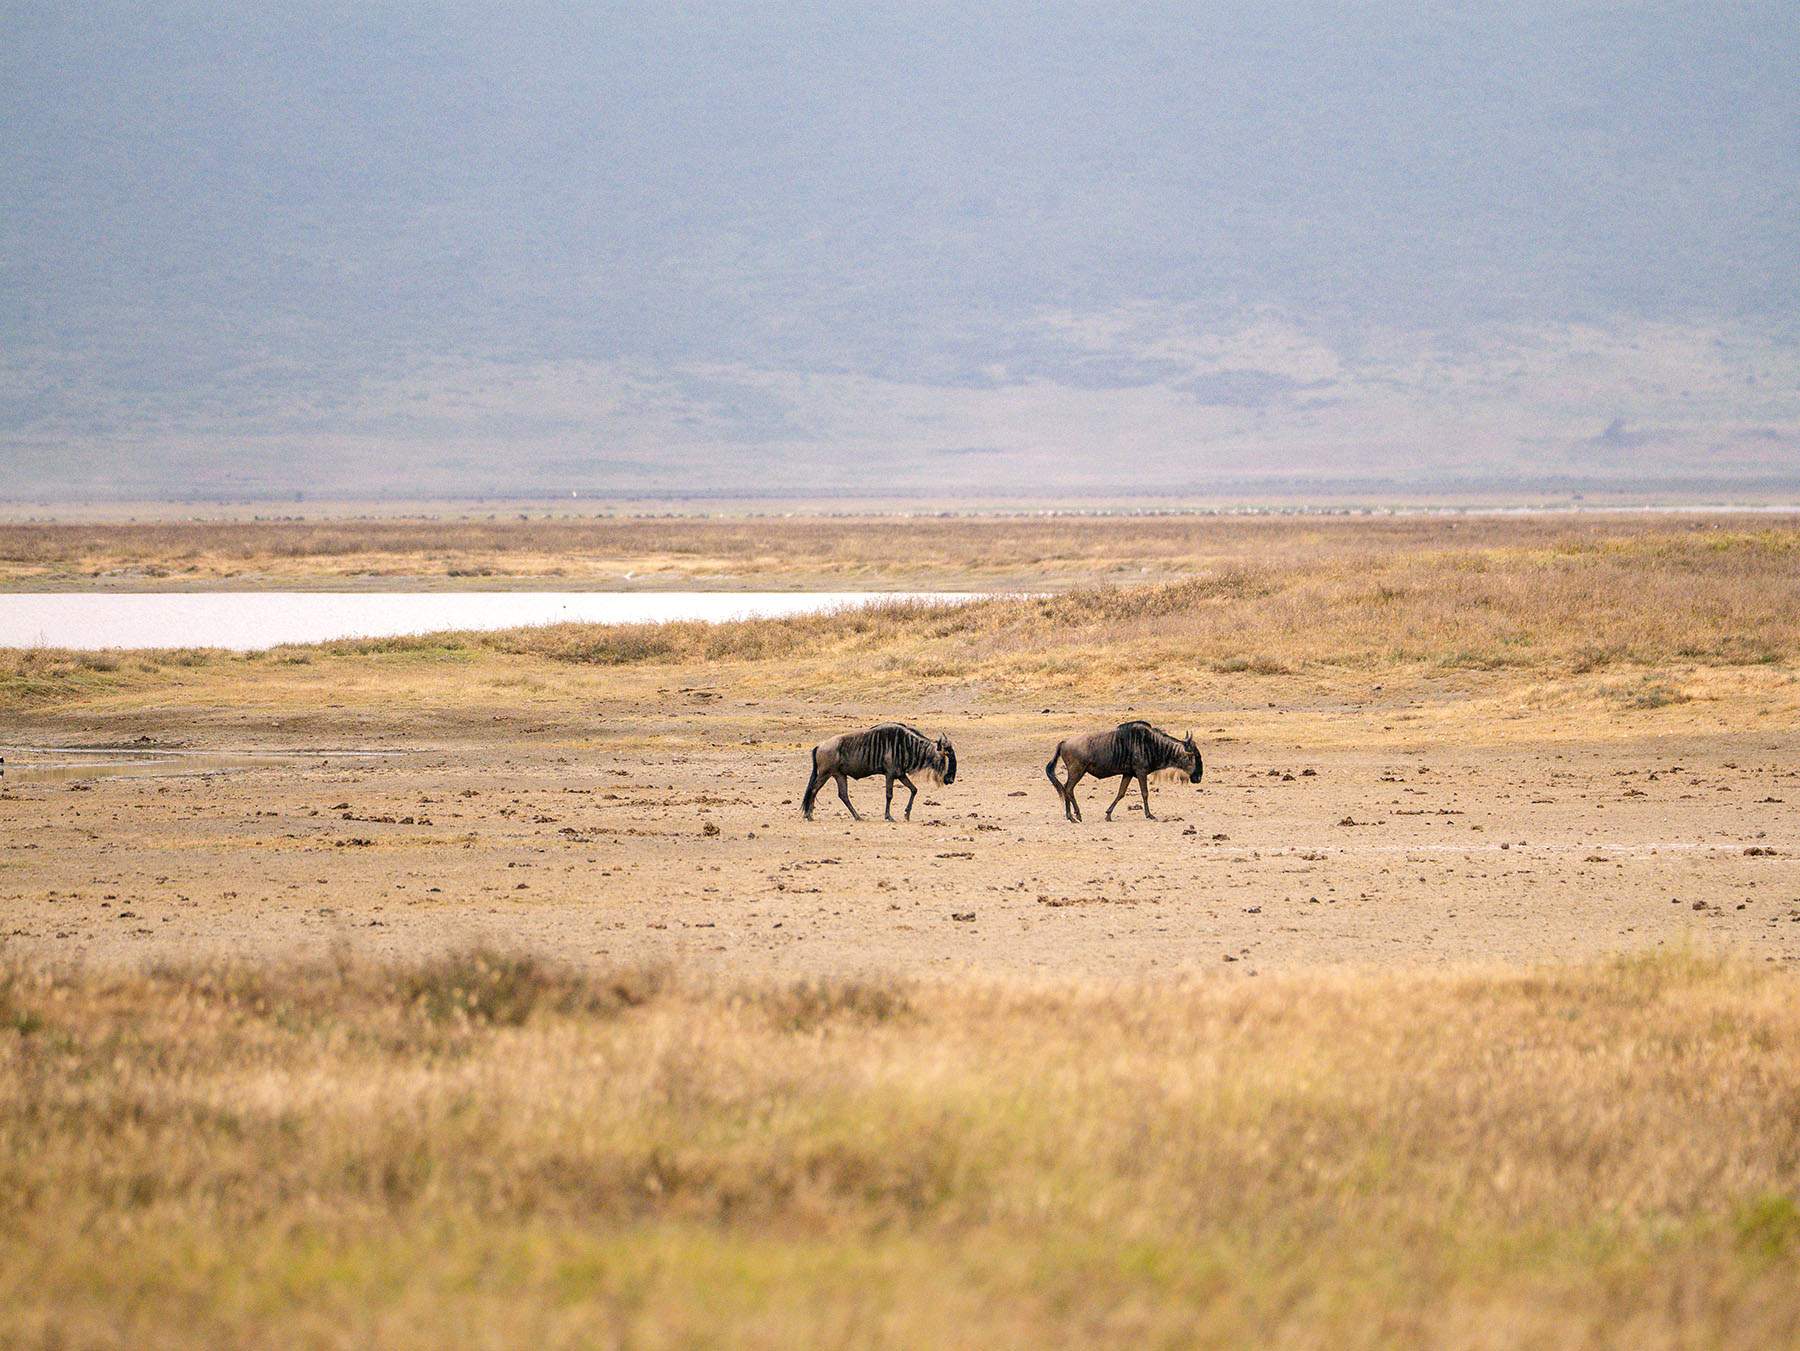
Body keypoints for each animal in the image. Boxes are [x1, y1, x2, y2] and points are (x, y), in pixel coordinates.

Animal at [802, 724, 957, 821]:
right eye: (946, 755)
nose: (950, 779)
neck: (907, 745)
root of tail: (819, 745)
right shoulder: (890, 774)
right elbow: (889, 795)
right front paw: (889, 817)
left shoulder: (900, 774)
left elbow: (914, 790)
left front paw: (906, 814)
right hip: (825, 774)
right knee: (814, 789)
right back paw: (809, 815)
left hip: (839, 775)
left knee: (843, 795)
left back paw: (858, 817)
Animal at [1045, 720, 1203, 822]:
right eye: (1195, 756)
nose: (1198, 778)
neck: (1153, 744)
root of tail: (1064, 742)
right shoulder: (1141, 772)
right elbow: (1145, 793)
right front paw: (1149, 815)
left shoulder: (1128, 774)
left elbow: (1120, 793)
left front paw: (1108, 815)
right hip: (1077, 771)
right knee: (1068, 789)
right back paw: (1074, 816)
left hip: (1076, 772)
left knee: (1066, 789)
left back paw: (1072, 816)